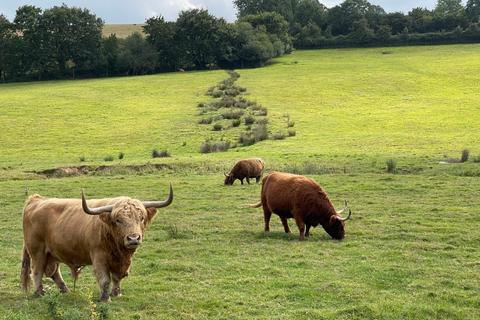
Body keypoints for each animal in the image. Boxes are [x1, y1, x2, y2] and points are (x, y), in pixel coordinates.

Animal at [21, 186, 174, 302]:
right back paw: (40, 292)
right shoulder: (99, 257)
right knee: (37, 271)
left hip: (53, 253)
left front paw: (116, 293)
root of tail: (36, 200)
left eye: (141, 218)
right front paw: (105, 298)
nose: (133, 238)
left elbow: (117, 277)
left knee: (54, 272)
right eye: (118, 220)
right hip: (37, 251)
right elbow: (105, 279)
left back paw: (65, 290)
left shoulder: (120, 262)